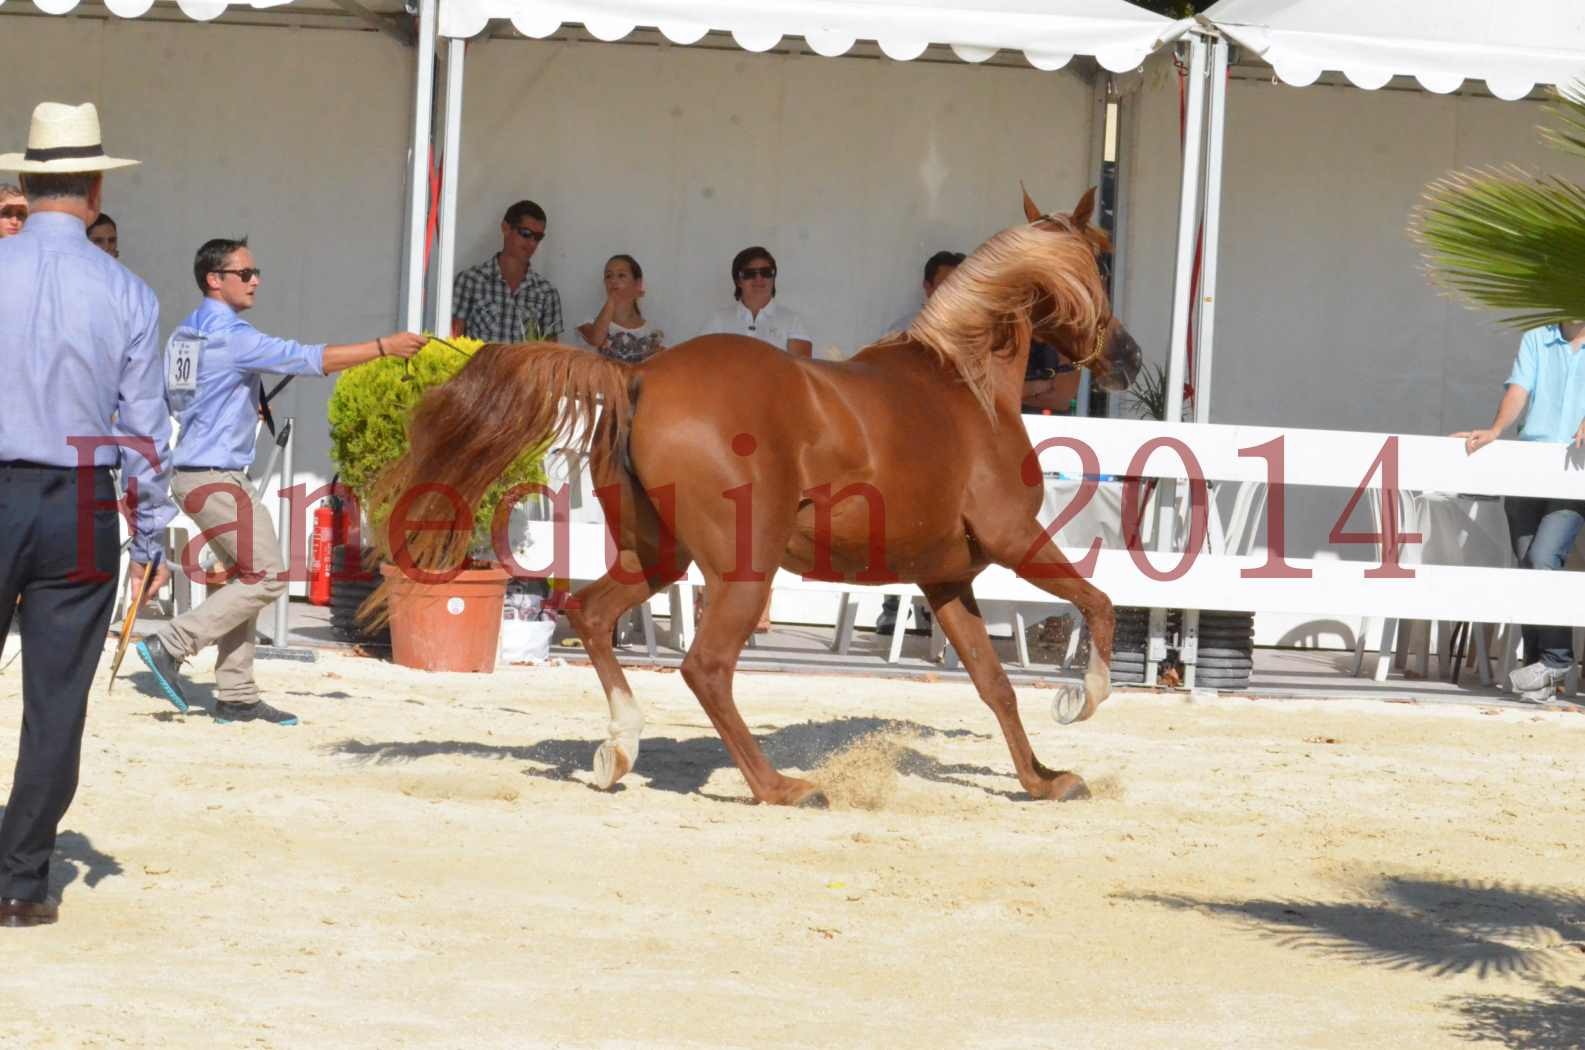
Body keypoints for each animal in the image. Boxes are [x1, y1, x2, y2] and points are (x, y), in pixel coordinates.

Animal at [383, 189, 1153, 808]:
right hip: (742, 569)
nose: (1131, 359)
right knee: (706, 667)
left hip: (657, 556)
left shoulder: (945, 577)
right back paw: (780, 788)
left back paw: (621, 751)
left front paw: (1043, 780)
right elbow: (1099, 605)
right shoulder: (1013, 538)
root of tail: (637, 377)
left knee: (594, 614)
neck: (964, 385)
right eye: (1098, 264)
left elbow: (994, 683)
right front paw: (1078, 702)